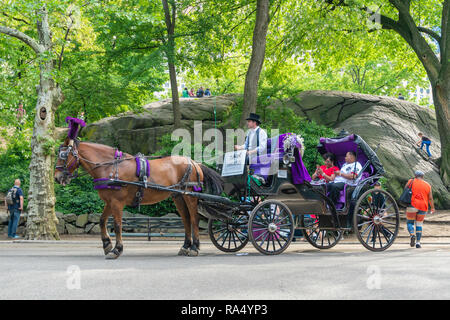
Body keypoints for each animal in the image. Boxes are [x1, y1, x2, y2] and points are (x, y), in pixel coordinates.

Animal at [54, 136, 223, 258]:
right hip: (178, 196)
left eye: (63, 155)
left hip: (190, 196)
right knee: (186, 220)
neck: (110, 167)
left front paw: (117, 249)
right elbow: (102, 221)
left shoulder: (117, 202)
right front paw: (107, 244)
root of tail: (194, 162)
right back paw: (185, 246)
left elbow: (117, 225)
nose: (56, 177)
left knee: (194, 219)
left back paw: (194, 247)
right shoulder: (110, 202)